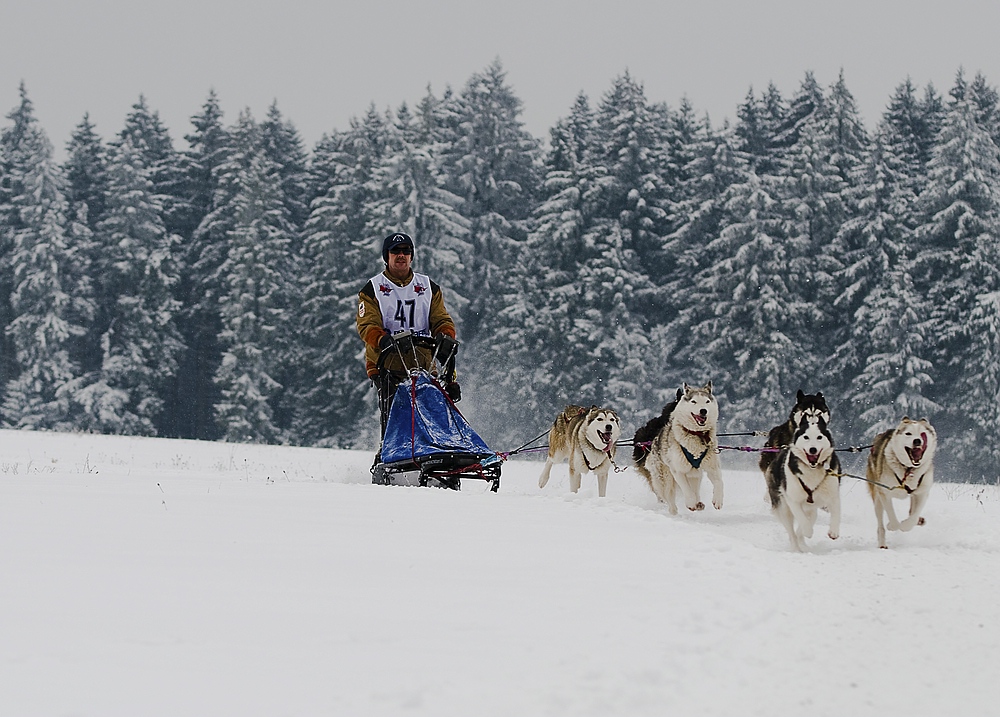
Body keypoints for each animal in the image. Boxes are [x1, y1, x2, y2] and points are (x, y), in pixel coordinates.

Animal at [636, 384, 724, 512]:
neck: (697, 434)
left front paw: (718, 500)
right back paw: (674, 511)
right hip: (666, 480)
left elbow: (719, 483)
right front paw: (691, 503)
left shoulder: (713, 467)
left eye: (707, 401)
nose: (703, 410)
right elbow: (686, 489)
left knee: (695, 489)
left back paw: (698, 503)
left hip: (695, 475)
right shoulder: (678, 470)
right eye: (693, 401)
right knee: (668, 497)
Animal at [764, 414, 844, 548]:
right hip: (783, 507)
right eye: (806, 437)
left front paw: (834, 531)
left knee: (810, 518)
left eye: (819, 437)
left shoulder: (833, 494)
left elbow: (836, 512)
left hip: (811, 507)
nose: (813, 449)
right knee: (791, 532)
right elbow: (802, 518)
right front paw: (807, 531)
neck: (812, 469)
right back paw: (796, 547)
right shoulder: (793, 499)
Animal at [868, 414, 936, 548]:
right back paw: (882, 543)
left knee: (911, 511)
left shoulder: (922, 493)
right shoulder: (885, 492)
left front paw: (906, 525)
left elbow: (913, 516)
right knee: (880, 524)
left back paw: (919, 520)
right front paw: (892, 525)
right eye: (908, 433)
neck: (908, 469)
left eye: (922, 433)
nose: (917, 441)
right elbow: (892, 516)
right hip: (877, 498)